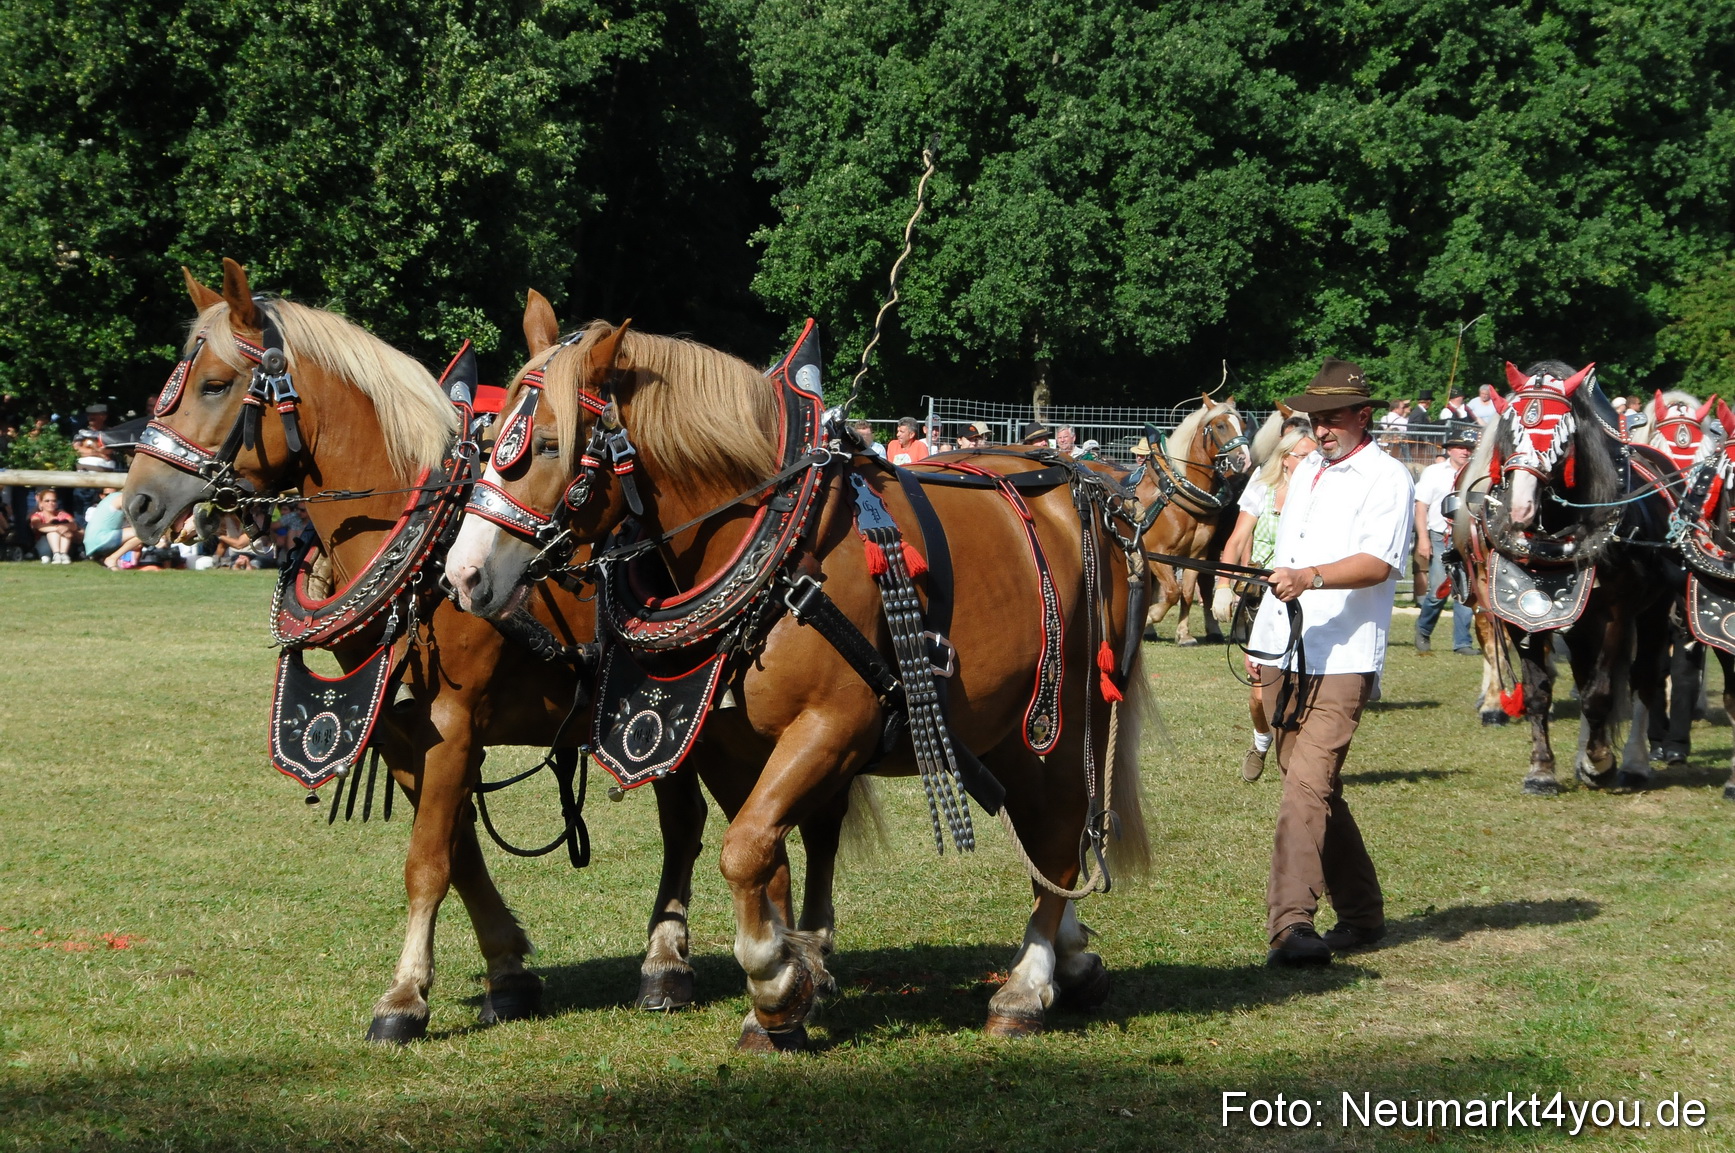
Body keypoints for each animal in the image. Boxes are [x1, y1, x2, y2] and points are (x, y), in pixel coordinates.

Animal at [122, 260, 727, 1041]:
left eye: (216, 385)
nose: (137, 502)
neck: (425, 551)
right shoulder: (399, 725)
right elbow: (456, 849)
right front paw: (508, 971)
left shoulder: (456, 717)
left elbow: (428, 861)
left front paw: (404, 995)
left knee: (683, 824)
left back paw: (665, 962)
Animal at [444, 298, 1151, 1047]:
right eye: (492, 438)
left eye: (549, 444)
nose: (462, 575)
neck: (778, 554)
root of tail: (1090, 491)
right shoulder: (731, 744)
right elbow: (765, 855)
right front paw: (787, 983)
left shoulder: (833, 725)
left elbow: (744, 848)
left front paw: (776, 983)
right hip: (1003, 724)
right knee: (1046, 831)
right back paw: (1070, 959)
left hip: (1063, 714)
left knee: (1061, 834)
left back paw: (1026, 985)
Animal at [1135, 397, 1252, 643]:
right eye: (1220, 426)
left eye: (1242, 426)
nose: (1244, 460)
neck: (1175, 491)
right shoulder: (1159, 552)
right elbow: (1173, 591)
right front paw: (1151, 616)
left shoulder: (1196, 555)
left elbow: (1187, 592)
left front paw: (1183, 634)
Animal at [1462, 359, 1684, 794]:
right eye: (1509, 432)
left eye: (1562, 437)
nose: (1519, 509)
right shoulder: (1524, 614)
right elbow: (1538, 693)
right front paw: (1542, 770)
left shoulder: (1617, 617)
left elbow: (1601, 694)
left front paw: (1601, 762)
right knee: (1585, 676)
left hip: (1653, 612)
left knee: (1643, 680)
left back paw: (1632, 763)